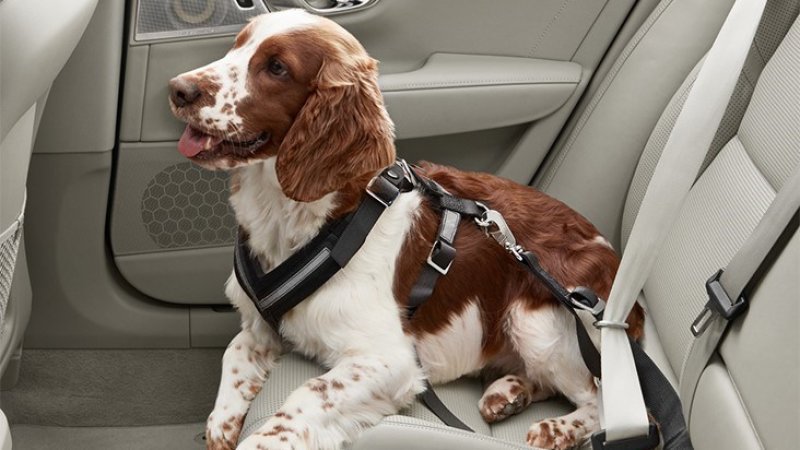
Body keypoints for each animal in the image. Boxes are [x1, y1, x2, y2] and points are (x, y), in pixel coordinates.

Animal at [169, 9, 644, 450]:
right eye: (237, 45)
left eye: (277, 67)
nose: (178, 88)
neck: (305, 220)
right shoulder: (262, 326)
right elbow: (236, 351)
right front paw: (221, 425)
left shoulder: (389, 359)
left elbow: (308, 393)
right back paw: (508, 393)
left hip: (534, 319)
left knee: (609, 406)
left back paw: (555, 427)